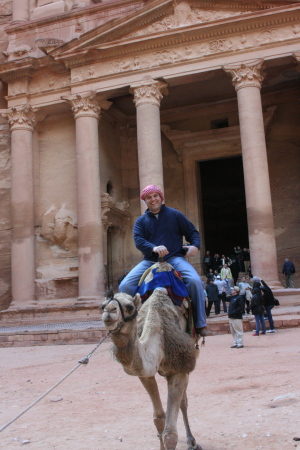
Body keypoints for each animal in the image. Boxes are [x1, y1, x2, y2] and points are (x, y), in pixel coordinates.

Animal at [101, 266, 202, 448]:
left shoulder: (179, 368)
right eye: (102, 306)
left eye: (129, 306)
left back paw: (191, 441)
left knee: (184, 402)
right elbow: (159, 418)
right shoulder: (145, 374)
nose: (108, 313)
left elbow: (170, 433)